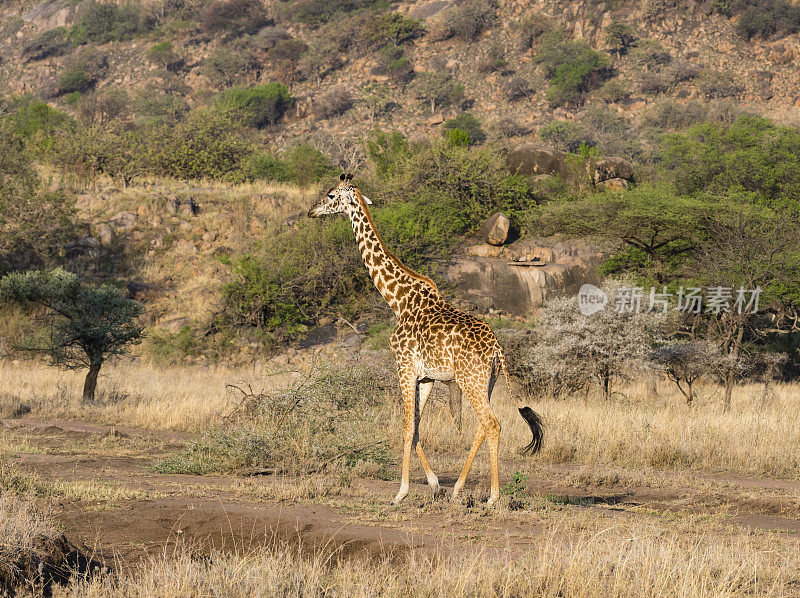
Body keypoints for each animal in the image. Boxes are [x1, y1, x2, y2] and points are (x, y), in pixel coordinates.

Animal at [306, 172, 544, 506]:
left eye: (330, 195)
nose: (311, 211)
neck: (397, 299)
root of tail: (497, 348)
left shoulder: (404, 367)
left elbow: (406, 427)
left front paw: (400, 493)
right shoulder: (426, 377)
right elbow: (416, 427)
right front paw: (434, 485)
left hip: (470, 380)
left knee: (492, 424)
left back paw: (493, 498)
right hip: (487, 381)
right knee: (482, 427)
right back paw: (458, 489)